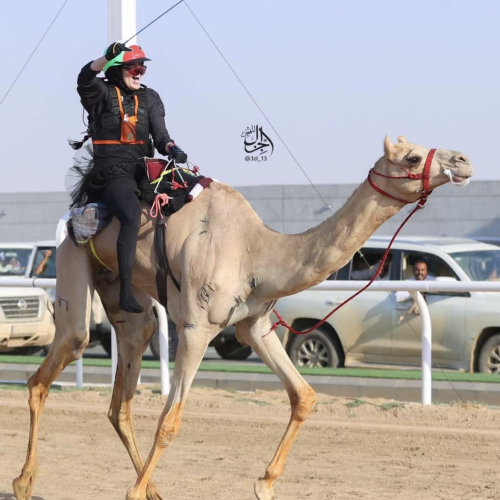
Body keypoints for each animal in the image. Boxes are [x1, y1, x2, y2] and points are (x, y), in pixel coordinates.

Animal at [11, 136, 472, 500]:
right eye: (412, 157)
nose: (464, 160)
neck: (257, 252)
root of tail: (78, 207)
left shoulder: (255, 325)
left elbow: (304, 395)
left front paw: (264, 484)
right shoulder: (196, 327)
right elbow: (170, 420)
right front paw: (133, 492)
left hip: (124, 297)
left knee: (122, 390)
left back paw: (151, 488)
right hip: (72, 261)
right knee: (57, 360)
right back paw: (24, 482)